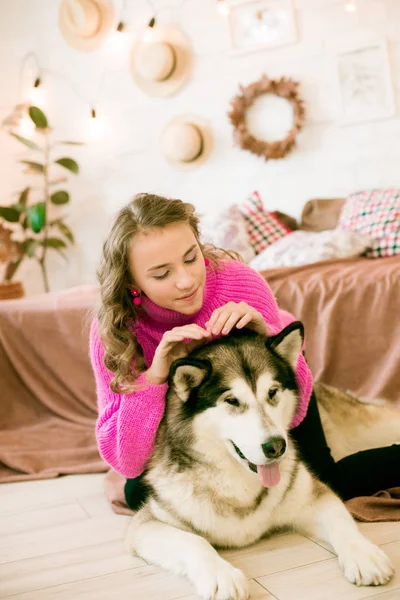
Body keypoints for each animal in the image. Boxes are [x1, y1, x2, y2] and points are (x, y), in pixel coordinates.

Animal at [125, 324, 396, 600]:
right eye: (232, 401)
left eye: (272, 393)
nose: (276, 446)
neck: (240, 483)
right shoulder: (149, 523)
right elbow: (194, 541)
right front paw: (221, 576)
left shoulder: (313, 495)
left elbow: (342, 522)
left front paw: (364, 555)